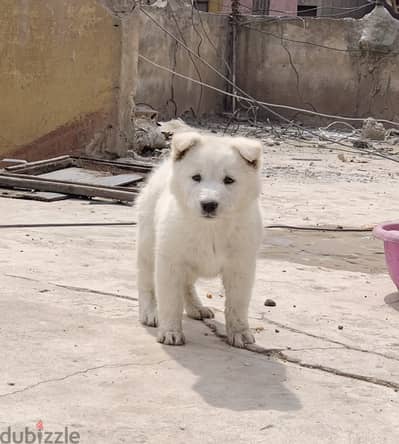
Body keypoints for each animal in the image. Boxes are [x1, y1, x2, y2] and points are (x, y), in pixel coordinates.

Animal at [136, 130, 264, 348]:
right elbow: (170, 300)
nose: (209, 204)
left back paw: (196, 308)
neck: (210, 228)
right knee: (146, 280)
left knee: (187, 284)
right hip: (148, 243)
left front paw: (239, 333)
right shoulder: (171, 260)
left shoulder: (241, 264)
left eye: (229, 180)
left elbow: (237, 303)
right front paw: (170, 331)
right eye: (196, 177)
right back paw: (150, 312)